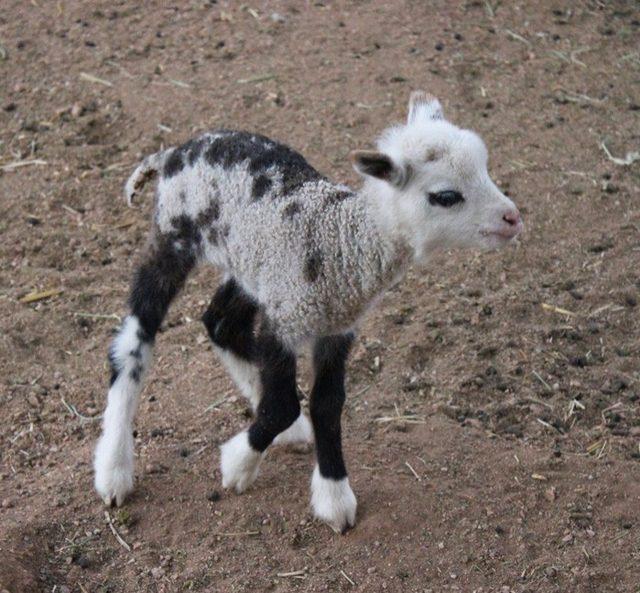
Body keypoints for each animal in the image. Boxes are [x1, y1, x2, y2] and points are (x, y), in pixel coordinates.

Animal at [92, 91, 520, 532]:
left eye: (485, 168)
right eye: (446, 196)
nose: (512, 218)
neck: (341, 241)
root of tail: (175, 151)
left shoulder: (334, 327)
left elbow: (327, 405)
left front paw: (334, 494)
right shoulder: (283, 320)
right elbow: (283, 405)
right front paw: (237, 466)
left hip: (249, 264)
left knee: (220, 323)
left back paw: (283, 422)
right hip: (172, 237)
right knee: (134, 341)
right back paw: (114, 469)